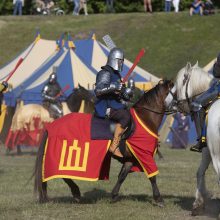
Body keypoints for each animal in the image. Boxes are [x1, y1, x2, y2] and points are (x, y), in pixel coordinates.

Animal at [33, 80, 174, 206]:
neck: (145, 118)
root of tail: (52, 125)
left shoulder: (131, 158)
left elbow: (122, 175)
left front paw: (114, 195)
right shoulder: (143, 154)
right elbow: (152, 176)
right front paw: (159, 199)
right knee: (61, 174)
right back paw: (76, 192)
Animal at [165, 62, 220, 216]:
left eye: (180, 82)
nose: (167, 101)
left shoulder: (208, 151)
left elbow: (200, 172)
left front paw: (198, 203)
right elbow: (200, 172)